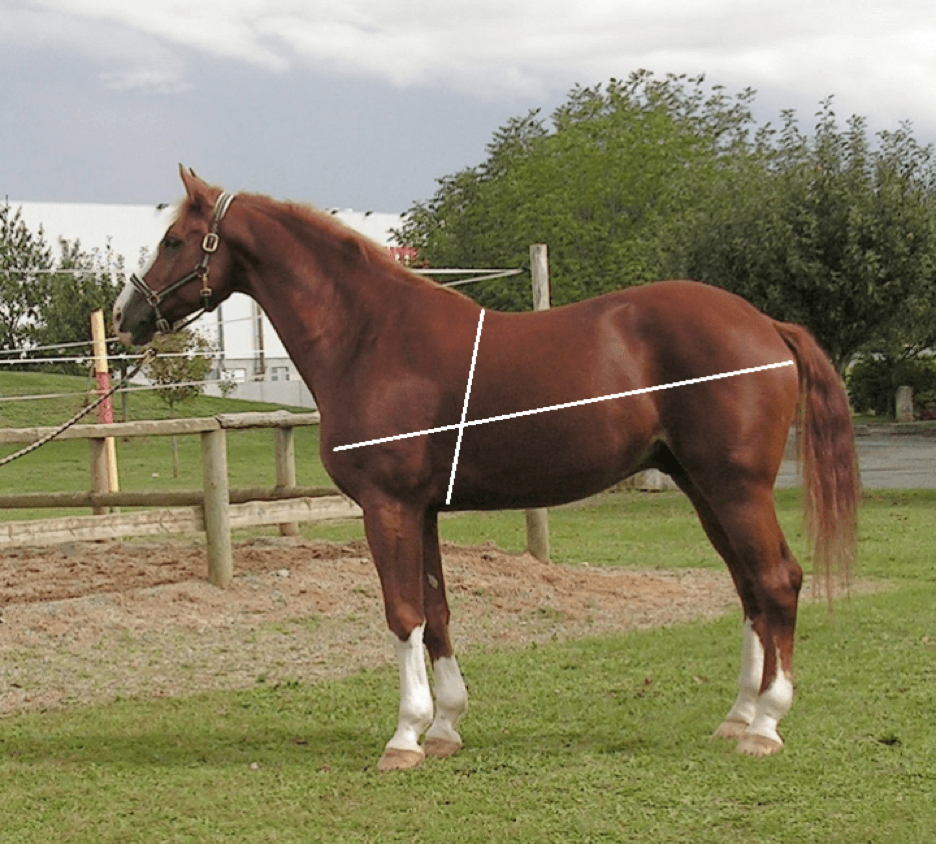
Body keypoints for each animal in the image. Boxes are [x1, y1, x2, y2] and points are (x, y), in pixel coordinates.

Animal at [113, 167, 859, 771]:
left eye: (175, 240)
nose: (127, 316)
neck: (370, 337)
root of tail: (765, 325)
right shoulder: (421, 510)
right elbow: (437, 611)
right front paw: (445, 727)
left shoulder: (386, 506)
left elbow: (402, 613)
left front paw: (404, 738)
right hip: (704, 489)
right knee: (750, 590)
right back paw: (737, 717)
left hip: (736, 489)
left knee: (777, 581)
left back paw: (765, 725)